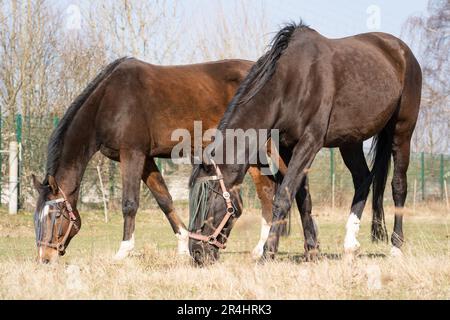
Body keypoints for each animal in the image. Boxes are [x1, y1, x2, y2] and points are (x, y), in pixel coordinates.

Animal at [33, 57, 284, 262]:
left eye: (56, 215)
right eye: (38, 217)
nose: (45, 257)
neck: (109, 100)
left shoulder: (132, 154)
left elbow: (129, 202)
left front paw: (123, 251)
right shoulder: (145, 158)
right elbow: (164, 199)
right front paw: (183, 244)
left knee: (267, 191)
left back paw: (261, 248)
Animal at [188, 21, 420, 264]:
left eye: (205, 201)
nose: (196, 252)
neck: (291, 82)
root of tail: (401, 50)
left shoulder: (309, 143)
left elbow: (283, 195)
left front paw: (268, 252)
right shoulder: (287, 146)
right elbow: (302, 197)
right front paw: (312, 250)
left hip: (402, 132)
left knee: (398, 186)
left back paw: (396, 247)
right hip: (350, 141)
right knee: (363, 179)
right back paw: (350, 245)